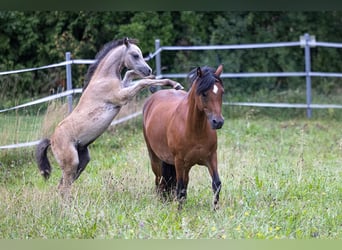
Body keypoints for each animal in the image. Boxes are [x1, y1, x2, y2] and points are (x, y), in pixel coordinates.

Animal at [35, 38, 183, 198]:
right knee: (64, 187)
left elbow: (130, 73)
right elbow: (142, 82)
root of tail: (51, 140)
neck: (103, 78)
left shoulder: (123, 87)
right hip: (71, 163)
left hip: (82, 161)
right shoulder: (122, 96)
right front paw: (174, 84)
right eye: (135, 55)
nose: (148, 70)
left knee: (62, 185)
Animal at [142, 64, 224, 209]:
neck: (194, 130)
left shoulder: (211, 157)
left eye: (222, 92)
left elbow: (216, 184)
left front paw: (215, 209)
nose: (218, 122)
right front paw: (179, 211)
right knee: (160, 180)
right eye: (204, 93)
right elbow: (179, 187)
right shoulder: (179, 161)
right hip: (156, 158)